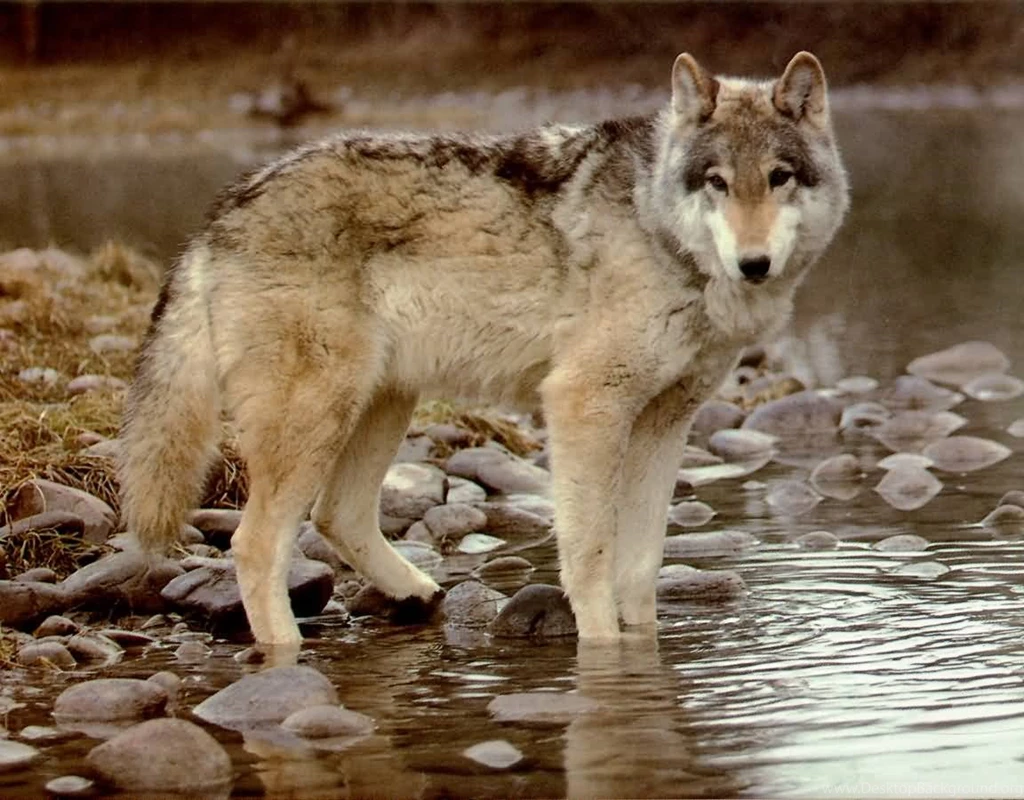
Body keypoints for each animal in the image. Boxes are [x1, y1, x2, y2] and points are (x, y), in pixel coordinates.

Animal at [119, 52, 848, 645]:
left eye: (779, 177)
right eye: (718, 182)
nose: (753, 264)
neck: (659, 230)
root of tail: (224, 209)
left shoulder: (664, 424)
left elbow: (640, 566)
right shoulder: (583, 405)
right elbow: (591, 558)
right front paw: (602, 649)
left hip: (383, 402)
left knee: (338, 517)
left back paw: (416, 595)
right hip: (317, 419)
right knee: (254, 544)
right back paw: (287, 657)